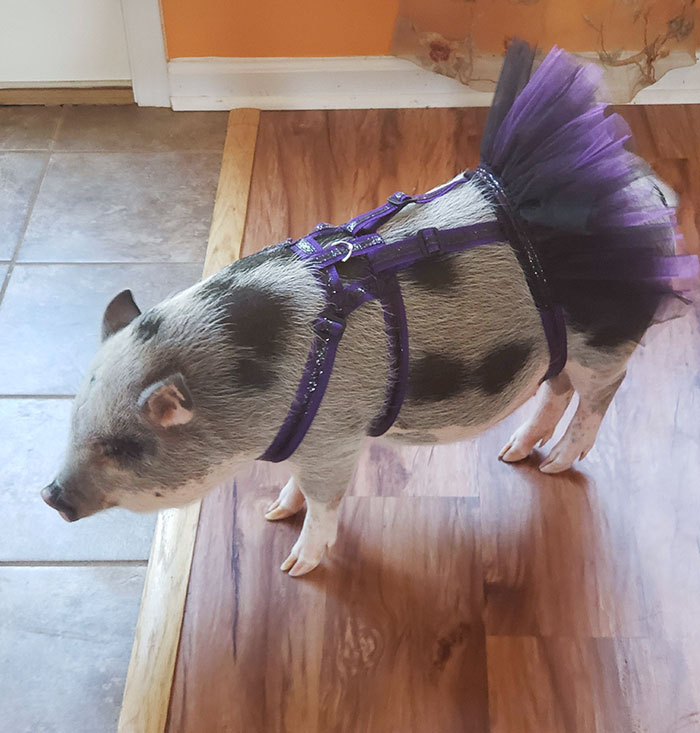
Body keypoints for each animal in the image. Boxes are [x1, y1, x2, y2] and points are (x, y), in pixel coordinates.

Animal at [40, 171, 677, 576]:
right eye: (73, 425)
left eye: (122, 446)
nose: (49, 495)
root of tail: (653, 193)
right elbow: (298, 487)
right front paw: (274, 512)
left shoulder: (334, 437)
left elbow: (326, 500)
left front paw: (294, 566)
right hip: (555, 350)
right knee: (557, 387)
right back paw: (514, 453)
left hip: (604, 339)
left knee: (602, 393)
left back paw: (554, 464)